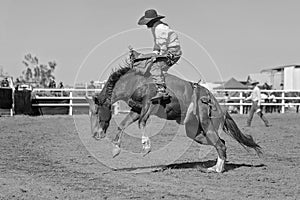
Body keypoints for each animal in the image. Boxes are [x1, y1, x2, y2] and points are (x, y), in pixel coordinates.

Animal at [85, 48, 262, 172]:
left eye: (96, 112)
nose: (95, 134)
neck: (134, 81)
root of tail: (216, 102)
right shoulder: (136, 109)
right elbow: (123, 124)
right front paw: (115, 149)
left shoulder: (149, 104)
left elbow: (142, 123)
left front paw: (146, 147)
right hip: (195, 131)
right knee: (220, 142)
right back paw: (216, 166)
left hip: (206, 122)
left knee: (220, 144)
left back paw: (217, 169)